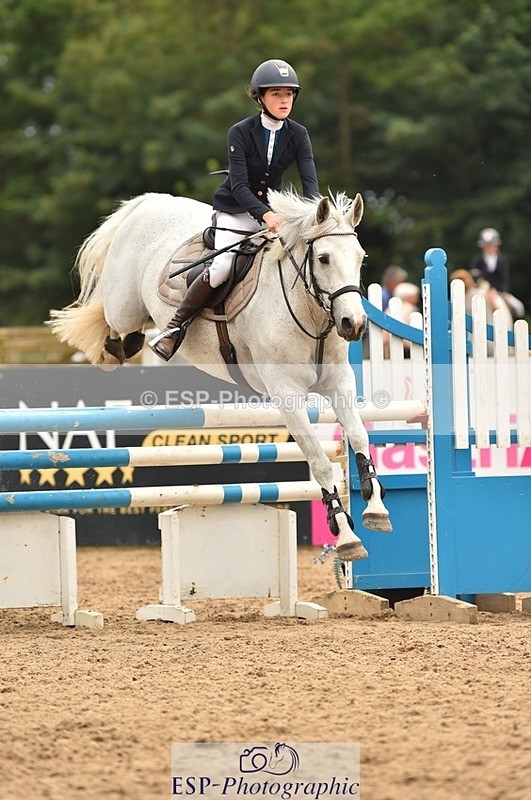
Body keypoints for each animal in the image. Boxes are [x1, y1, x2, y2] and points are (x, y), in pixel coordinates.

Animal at [48, 189, 392, 561]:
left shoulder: (338, 383)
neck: (308, 312)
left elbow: (358, 437)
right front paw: (346, 535)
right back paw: (120, 348)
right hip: (124, 305)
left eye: (360, 258)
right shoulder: (286, 393)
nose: (353, 324)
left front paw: (376, 509)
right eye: (324, 258)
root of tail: (149, 202)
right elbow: (320, 460)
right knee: (112, 320)